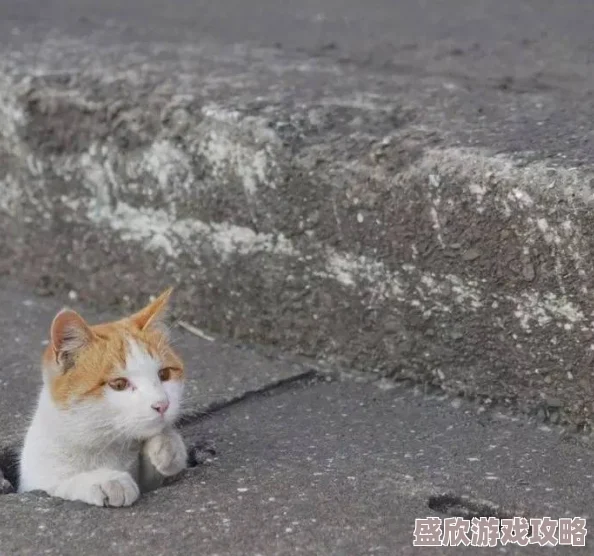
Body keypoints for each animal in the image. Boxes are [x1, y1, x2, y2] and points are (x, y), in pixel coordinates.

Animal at [19, 288, 185, 506]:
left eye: (164, 374)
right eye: (119, 384)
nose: (162, 405)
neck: (103, 443)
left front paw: (167, 444)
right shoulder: (37, 480)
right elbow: (60, 485)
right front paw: (107, 480)